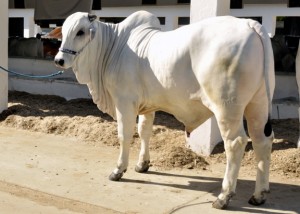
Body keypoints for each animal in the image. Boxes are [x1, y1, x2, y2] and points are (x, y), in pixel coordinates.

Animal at [55, 10, 276, 209]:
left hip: (227, 108)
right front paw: (142, 164)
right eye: (64, 32)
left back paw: (224, 196)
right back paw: (259, 194)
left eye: (81, 31)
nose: (59, 60)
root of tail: (249, 24)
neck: (114, 46)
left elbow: (124, 135)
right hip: (258, 104)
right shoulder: (147, 106)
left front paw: (119, 170)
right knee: (262, 141)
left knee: (235, 143)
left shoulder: (124, 102)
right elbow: (144, 131)